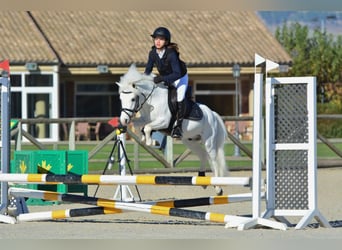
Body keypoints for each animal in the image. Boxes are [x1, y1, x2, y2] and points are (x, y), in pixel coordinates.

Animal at [116, 63, 228, 194]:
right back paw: (202, 179)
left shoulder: (163, 122)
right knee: (203, 155)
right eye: (120, 99)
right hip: (190, 141)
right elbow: (139, 126)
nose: (124, 120)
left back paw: (218, 187)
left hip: (209, 141)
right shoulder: (144, 119)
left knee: (213, 159)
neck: (152, 100)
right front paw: (146, 139)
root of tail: (213, 114)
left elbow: (148, 128)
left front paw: (151, 142)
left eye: (133, 99)